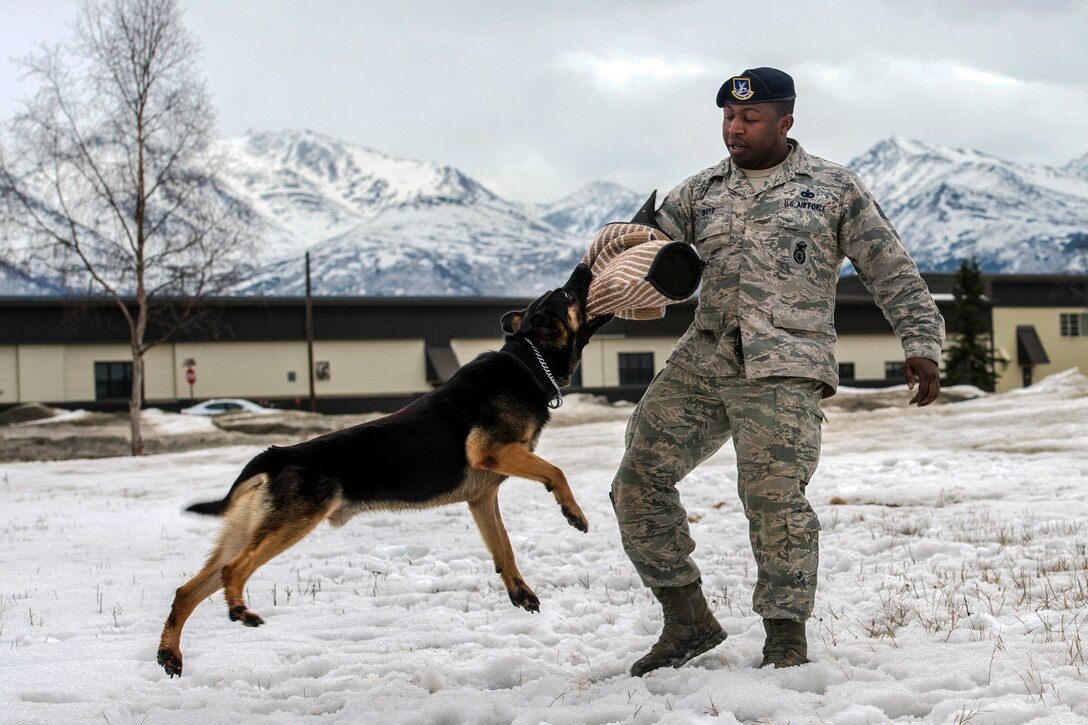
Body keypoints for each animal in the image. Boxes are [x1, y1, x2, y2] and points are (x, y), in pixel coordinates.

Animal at [156, 262, 613, 674]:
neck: (527, 361)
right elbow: (556, 471)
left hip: (249, 530)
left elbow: (503, 547)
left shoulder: (482, 499)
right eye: (567, 293)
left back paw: (170, 653)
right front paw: (574, 513)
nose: (584, 266)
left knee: (186, 590)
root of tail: (278, 454)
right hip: (290, 524)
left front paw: (519, 591)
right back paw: (239, 610)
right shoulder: (491, 451)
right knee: (232, 570)